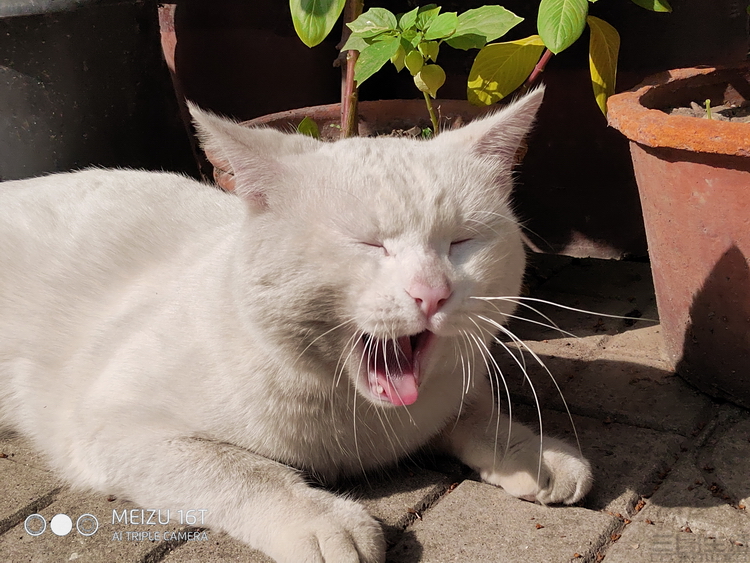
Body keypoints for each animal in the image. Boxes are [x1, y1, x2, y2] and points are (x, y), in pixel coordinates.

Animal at [0, 90, 592, 563]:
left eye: (460, 242)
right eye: (368, 243)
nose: (432, 292)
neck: (357, 419)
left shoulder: (450, 392)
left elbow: (480, 416)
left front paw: (536, 453)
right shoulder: (115, 426)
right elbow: (241, 470)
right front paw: (324, 520)